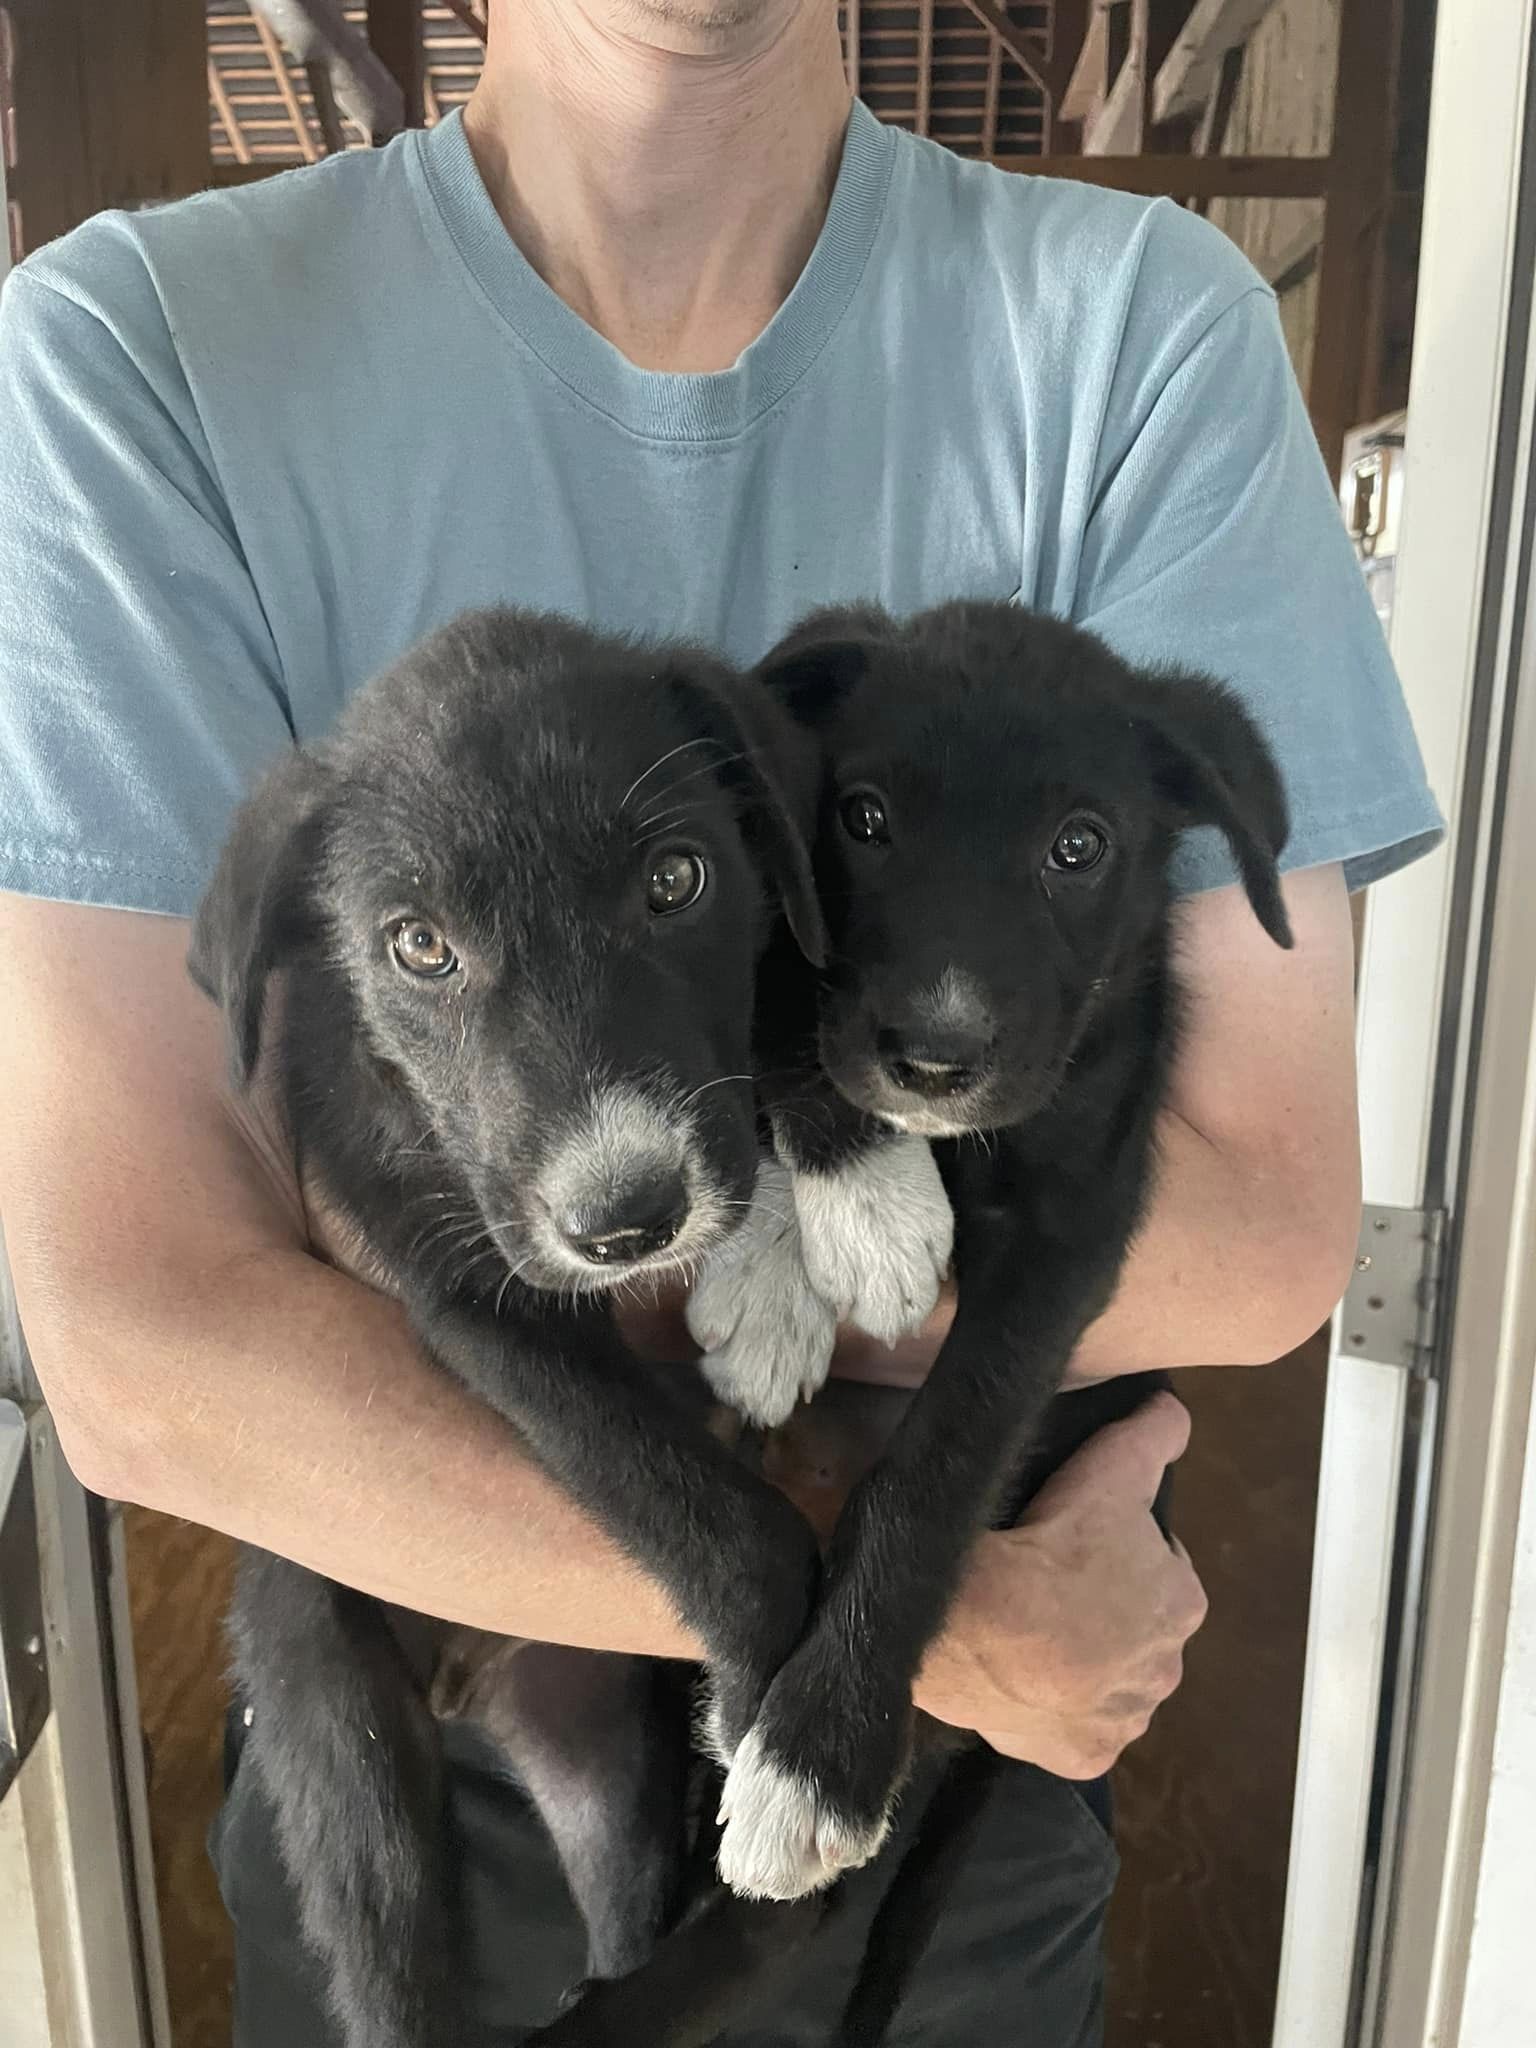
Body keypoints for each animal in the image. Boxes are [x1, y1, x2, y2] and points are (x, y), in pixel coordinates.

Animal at [191, 606, 843, 2048]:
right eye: (418, 946)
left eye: (676, 880)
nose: (625, 1219)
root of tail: (466, 1683)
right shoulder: (464, 1285)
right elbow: (701, 1500)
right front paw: (767, 1698)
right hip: (327, 1680)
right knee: (387, 1948)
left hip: (599, 1737)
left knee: (625, 1904)